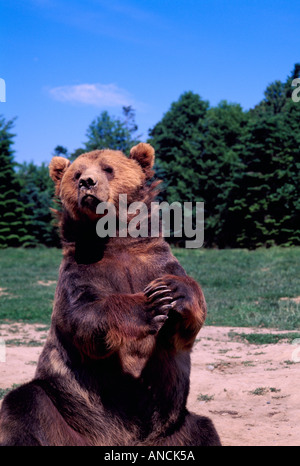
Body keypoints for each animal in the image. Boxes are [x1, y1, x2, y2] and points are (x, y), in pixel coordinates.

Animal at [0, 143, 220, 448]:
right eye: (76, 173)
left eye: (108, 168)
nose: (86, 182)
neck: (114, 240)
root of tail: (118, 441)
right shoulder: (80, 273)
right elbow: (83, 317)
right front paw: (150, 305)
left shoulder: (155, 262)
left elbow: (187, 325)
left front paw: (173, 291)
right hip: (66, 408)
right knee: (24, 403)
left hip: (174, 428)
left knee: (203, 428)